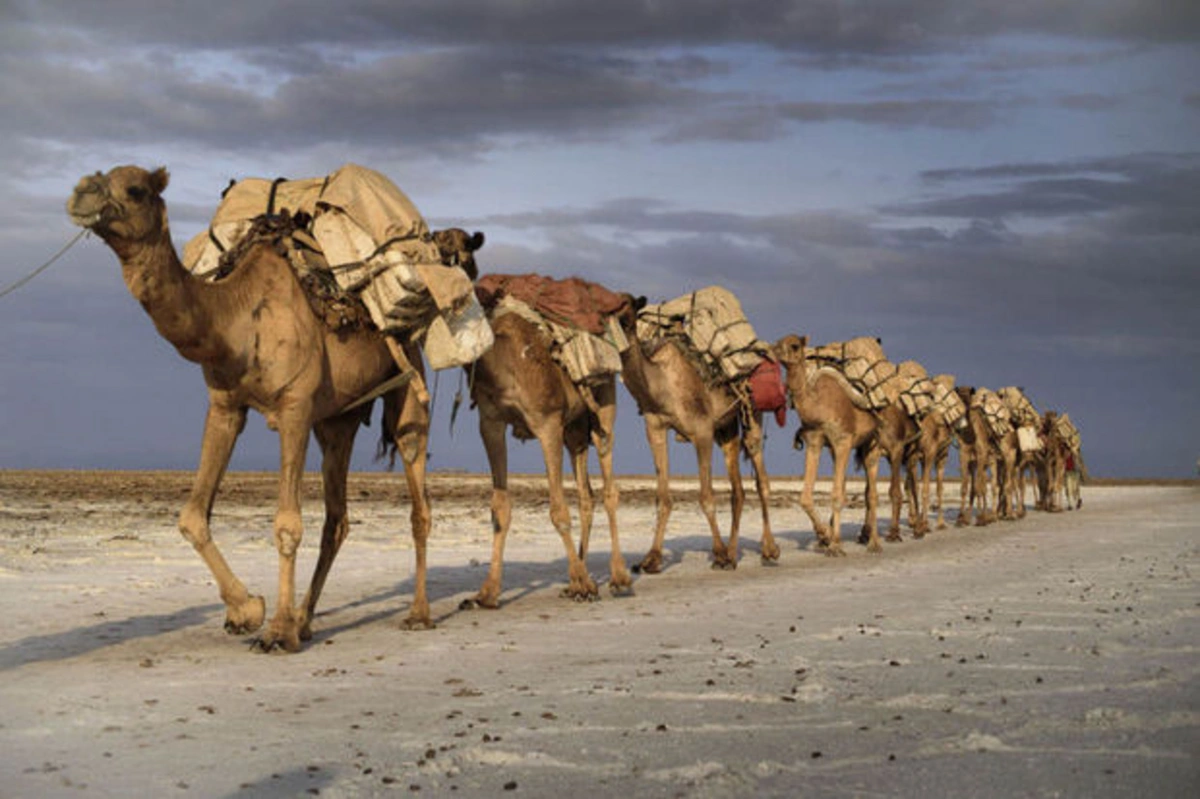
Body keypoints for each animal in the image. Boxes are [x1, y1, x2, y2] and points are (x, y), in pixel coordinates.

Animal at [63, 164, 448, 652]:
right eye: (96, 175)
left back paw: (417, 613)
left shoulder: (295, 407)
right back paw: (306, 619)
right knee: (337, 519)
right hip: (336, 420)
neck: (237, 318)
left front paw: (276, 631)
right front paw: (247, 611)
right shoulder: (225, 406)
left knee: (418, 496)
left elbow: (287, 524)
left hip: (407, 380)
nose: (81, 193)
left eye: (134, 188)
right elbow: (192, 516)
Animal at [456, 278, 633, 604]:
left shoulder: (547, 422)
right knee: (586, 494)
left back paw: (618, 577)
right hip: (574, 428)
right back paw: (579, 577)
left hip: (603, 405)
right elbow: (500, 509)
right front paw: (485, 594)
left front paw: (585, 584)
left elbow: (557, 510)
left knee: (609, 487)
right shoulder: (490, 423)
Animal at [609, 295, 787, 568]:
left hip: (752, 411)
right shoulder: (655, 430)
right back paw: (733, 554)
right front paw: (651, 559)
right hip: (725, 428)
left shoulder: (701, 432)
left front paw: (718, 552)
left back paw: (768, 549)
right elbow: (662, 497)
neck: (661, 385)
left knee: (760, 478)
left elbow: (706, 497)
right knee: (738, 490)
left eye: (628, 315)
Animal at [772, 335, 888, 554]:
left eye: (794, 345)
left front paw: (833, 545)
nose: (772, 351)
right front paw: (825, 536)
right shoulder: (815, 442)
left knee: (872, 493)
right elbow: (806, 497)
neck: (818, 405)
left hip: (873, 442)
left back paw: (874, 542)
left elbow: (836, 495)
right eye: (776, 342)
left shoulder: (843, 441)